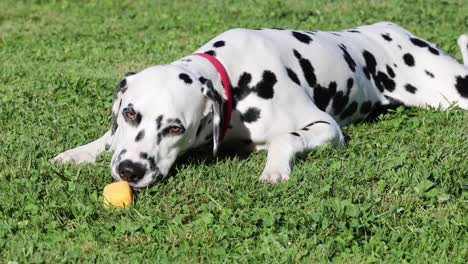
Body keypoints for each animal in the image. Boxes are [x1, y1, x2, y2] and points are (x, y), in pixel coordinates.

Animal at [51, 22, 468, 188]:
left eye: (174, 128)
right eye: (130, 113)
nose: (130, 171)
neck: (233, 76)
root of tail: (394, 31)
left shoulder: (326, 128)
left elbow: (286, 138)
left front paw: (274, 169)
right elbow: (107, 139)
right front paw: (78, 152)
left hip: (453, 92)